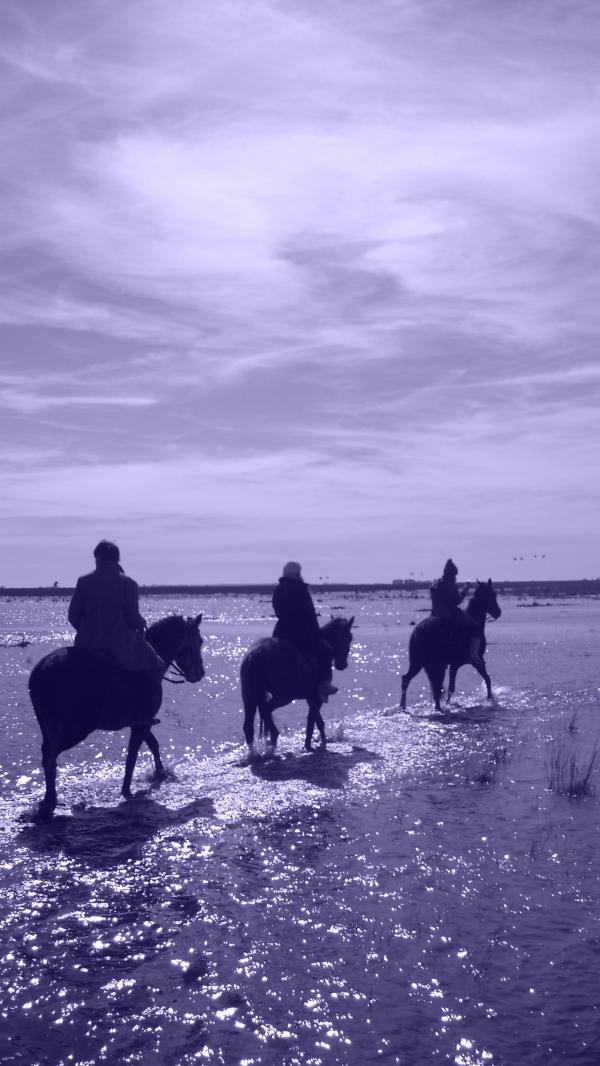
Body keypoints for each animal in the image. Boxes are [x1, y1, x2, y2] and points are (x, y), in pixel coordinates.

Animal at [28, 613, 204, 818]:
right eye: (199, 641)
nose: (200, 673)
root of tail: (44, 667)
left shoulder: (140, 723)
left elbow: (152, 744)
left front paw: (160, 774)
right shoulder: (142, 722)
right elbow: (133, 755)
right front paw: (127, 789)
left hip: (49, 726)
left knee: (47, 755)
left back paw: (47, 801)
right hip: (77, 728)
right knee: (51, 758)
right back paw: (50, 802)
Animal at [240, 616, 354, 752]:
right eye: (349, 637)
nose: (343, 665)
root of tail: (254, 654)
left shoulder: (311, 698)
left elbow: (317, 720)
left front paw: (320, 741)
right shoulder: (317, 698)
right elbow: (312, 721)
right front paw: (311, 745)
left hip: (249, 697)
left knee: (249, 726)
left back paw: (254, 752)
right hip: (283, 697)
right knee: (265, 709)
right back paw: (273, 737)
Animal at [400, 580, 501, 712]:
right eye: (493, 595)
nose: (498, 612)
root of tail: (418, 631)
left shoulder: (454, 665)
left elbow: (450, 687)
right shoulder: (471, 662)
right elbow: (486, 679)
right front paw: (489, 698)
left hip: (419, 663)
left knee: (412, 681)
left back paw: (406, 706)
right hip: (431, 664)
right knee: (432, 685)